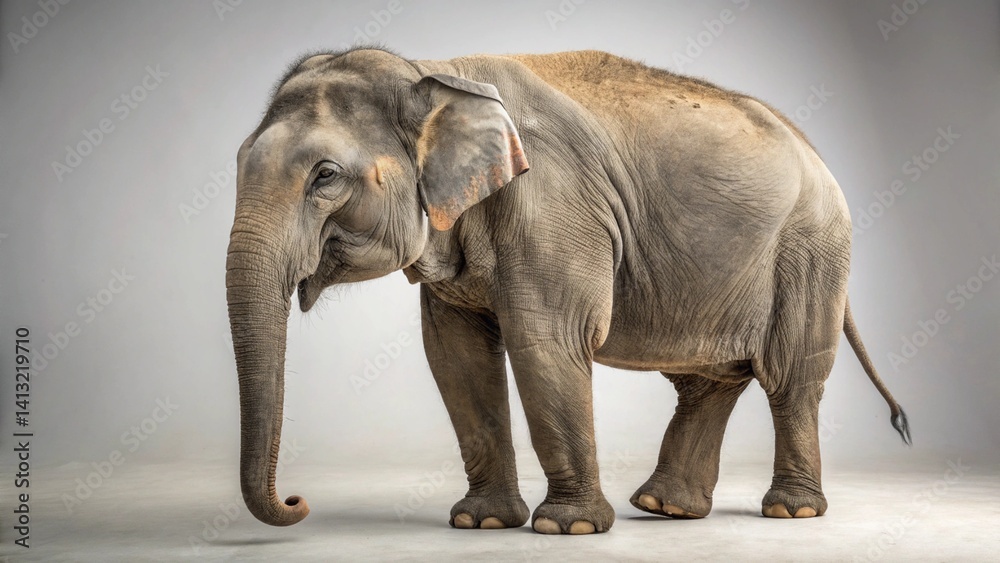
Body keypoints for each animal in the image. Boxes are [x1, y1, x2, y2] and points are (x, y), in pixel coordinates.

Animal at [225, 47, 910, 535]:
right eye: (237, 162)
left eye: (326, 176)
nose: (297, 499)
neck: (434, 73)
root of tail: (815, 152)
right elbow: (455, 358)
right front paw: (481, 522)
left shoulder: (552, 207)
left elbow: (545, 341)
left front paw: (568, 528)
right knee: (708, 381)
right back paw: (665, 508)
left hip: (810, 251)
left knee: (791, 376)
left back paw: (791, 513)